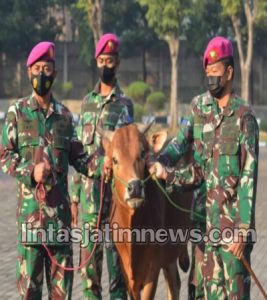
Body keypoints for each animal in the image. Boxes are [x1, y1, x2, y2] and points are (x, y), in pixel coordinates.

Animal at [101, 123, 194, 298]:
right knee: (174, 283)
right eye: (115, 159)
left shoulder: (153, 267)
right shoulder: (127, 272)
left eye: (143, 154)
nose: (135, 187)